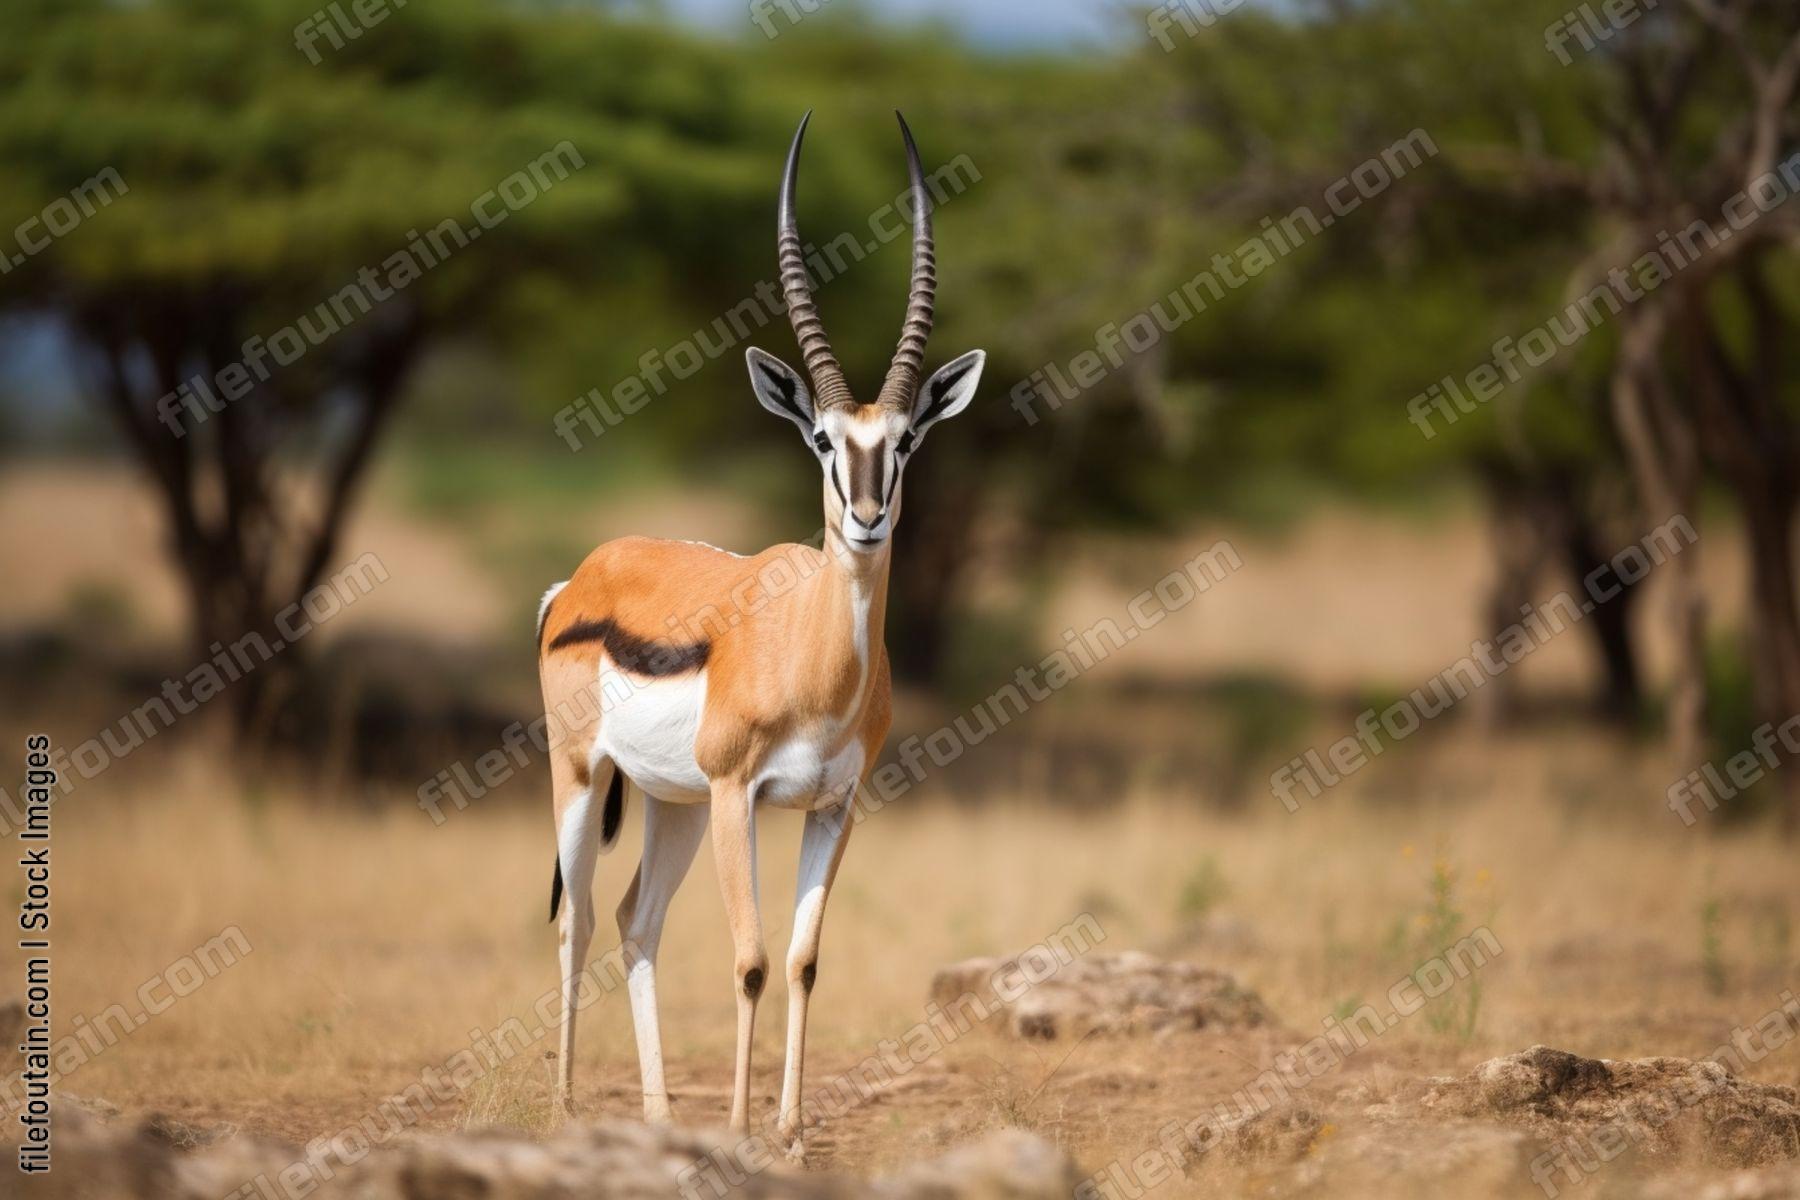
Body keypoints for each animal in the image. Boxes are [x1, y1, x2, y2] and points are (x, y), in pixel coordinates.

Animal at [537, 110, 984, 1159]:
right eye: (823, 440)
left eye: (905, 441)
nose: (867, 520)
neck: (814, 658)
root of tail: (582, 577)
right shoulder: (740, 794)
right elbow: (746, 956)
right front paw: (742, 1131)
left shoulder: (833, 806)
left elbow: (804, 958)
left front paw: (788, 1133)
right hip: (586, 778)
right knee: (579, 921)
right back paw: (568, 1111)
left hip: (672, 803)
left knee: (636, 920)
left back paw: (660, 1119)